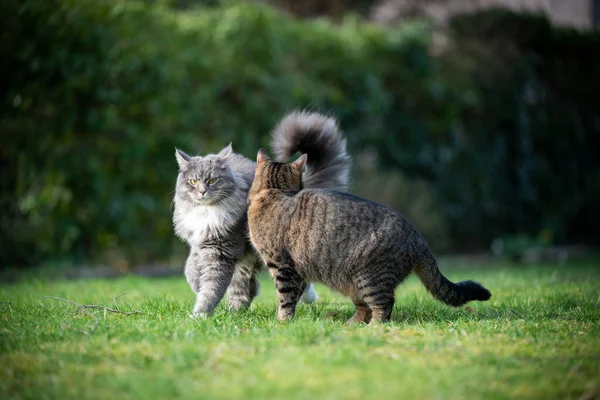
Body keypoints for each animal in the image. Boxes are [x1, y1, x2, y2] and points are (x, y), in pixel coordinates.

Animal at [171, 111, 352, 318]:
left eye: (212, 180)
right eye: (193, 181)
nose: (202, 192)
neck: (206, 212)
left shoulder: (221, 250)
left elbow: (211, 287)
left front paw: (200, 314)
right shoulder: (199, 244)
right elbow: (190, 269)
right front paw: (196, 286)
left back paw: (307, 298)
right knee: (247, 289)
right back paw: (235, 311)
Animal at [246, 148, 490, 324]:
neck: (274, 191)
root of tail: (419, 239)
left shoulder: (283, 266)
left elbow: (285, 299)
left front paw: (282, 322)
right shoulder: (298, 271)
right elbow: (294, 297)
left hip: (369, 276)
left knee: (384, 305)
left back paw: (373, 328)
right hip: (352, 282)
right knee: (366, 308)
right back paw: (351, 325)